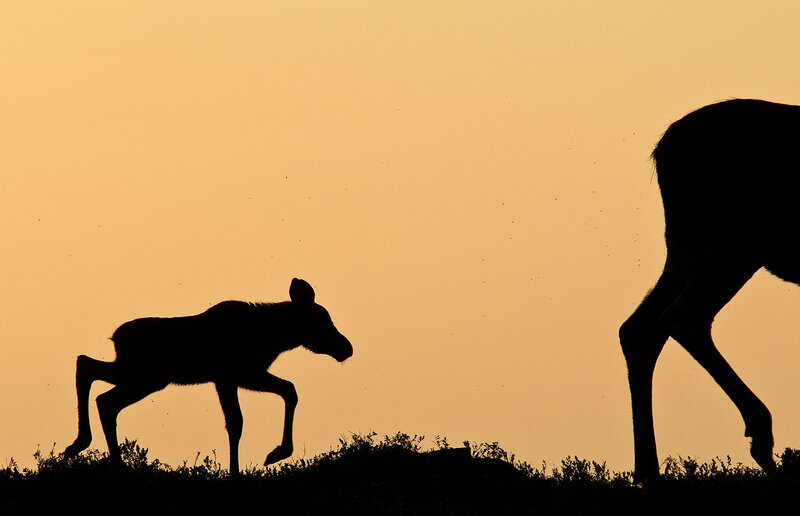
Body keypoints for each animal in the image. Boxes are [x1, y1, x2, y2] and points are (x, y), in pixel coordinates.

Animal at [62, 278, 353, 475]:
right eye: (321, 320)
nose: (346, 347)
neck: (272, 337)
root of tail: (116, 338)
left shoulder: (235, 377)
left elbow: (282, 393)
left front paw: (272, 453)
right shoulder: (235, 374)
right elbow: (239, 420)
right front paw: (262, 459)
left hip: (142, 376)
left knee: (98, 387)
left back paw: (96, 454)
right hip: (144, 376)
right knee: (93, 379)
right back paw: (89, 449)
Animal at [619, 98, 800, 482]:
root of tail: (662, 150)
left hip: (685, 245)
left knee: (639, 328)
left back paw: (648, 471)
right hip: (735, 245)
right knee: (683, 316)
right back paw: (761, 439)